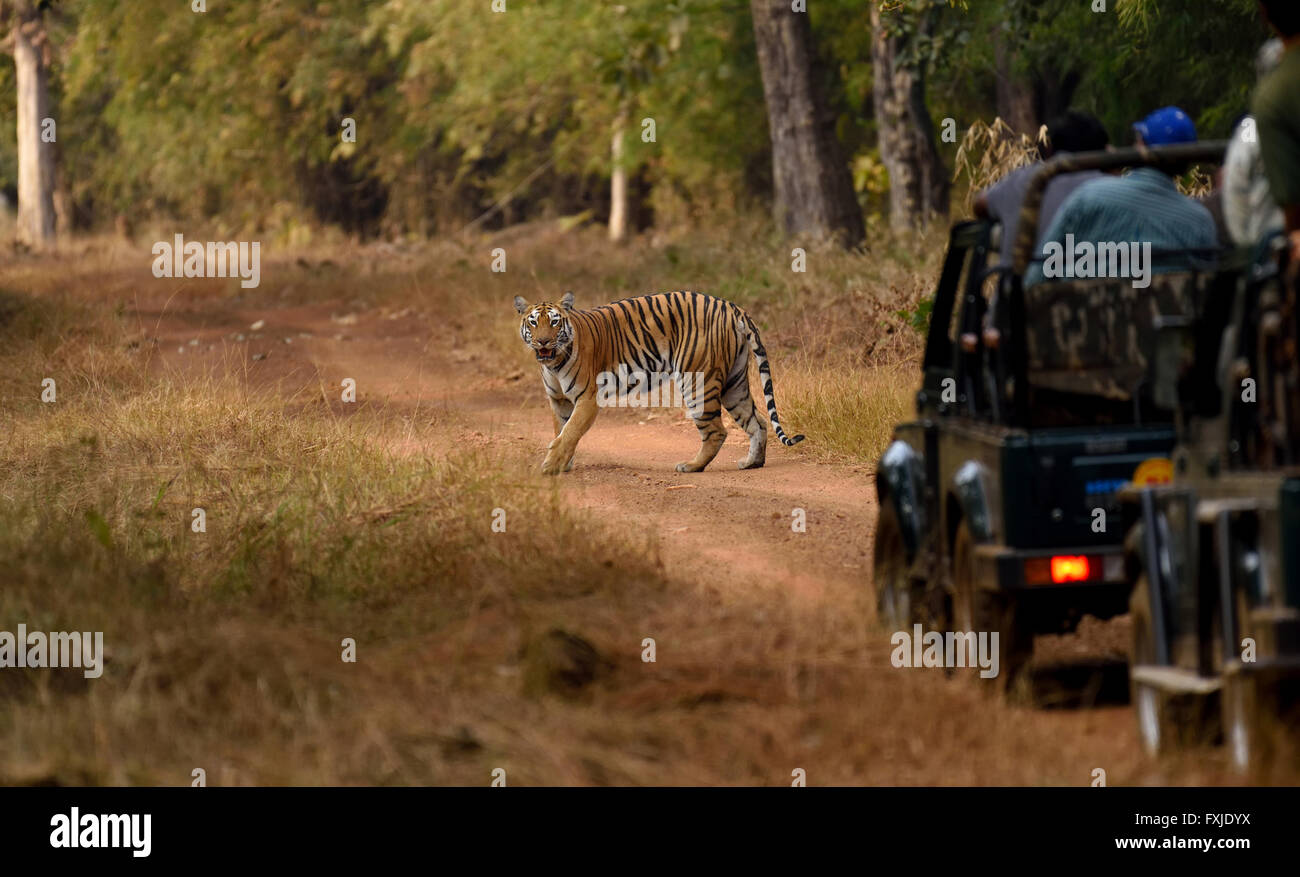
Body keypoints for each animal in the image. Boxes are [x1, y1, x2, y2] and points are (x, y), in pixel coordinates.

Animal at [513, 290, 805, 475]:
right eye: (533, 322)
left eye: (554, 322)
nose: (543, 342)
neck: (553, 364)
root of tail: (731, 306)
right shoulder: (559, 400)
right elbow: (561, 430)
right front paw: (563, 463)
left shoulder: (587, 398)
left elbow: (570, 431)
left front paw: (551, 466)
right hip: (735, 384)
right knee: (758, 421)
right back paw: (751, 463)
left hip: (697, 380)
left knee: (716, 431)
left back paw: (691, 466)